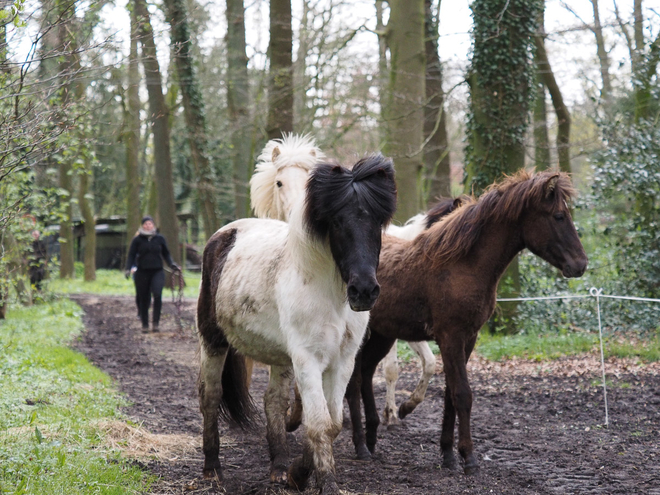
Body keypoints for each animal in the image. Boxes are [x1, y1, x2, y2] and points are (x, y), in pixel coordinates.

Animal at [346, 171, 588, 476]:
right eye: (558, 216)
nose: (581, 264)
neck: (462, 265)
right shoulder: (450, 336)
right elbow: (462, 393)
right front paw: (469, 457)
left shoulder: (468, 338)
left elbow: (450, 393)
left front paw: (449, 454)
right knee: (353, 380)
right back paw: (361, 447)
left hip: (383, 335)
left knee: (366, 372)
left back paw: (372, 437)